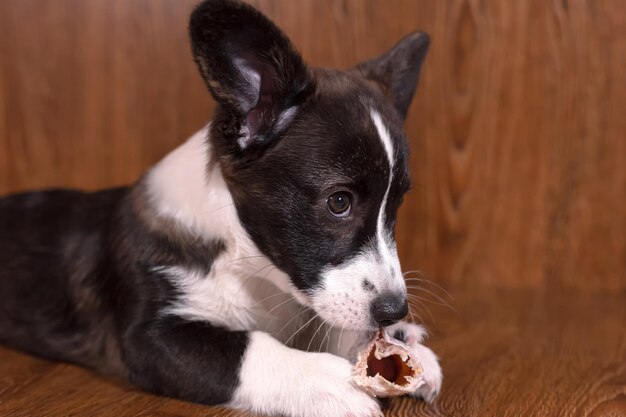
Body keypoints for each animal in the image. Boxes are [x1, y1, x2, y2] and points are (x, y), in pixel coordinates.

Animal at [0, 0, 438, 416]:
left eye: (397, 202)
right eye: (339, 202)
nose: (395, 311)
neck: (252, 270)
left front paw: (399, 343)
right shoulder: (152, 336)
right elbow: (248, 347)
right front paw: (322, 378)